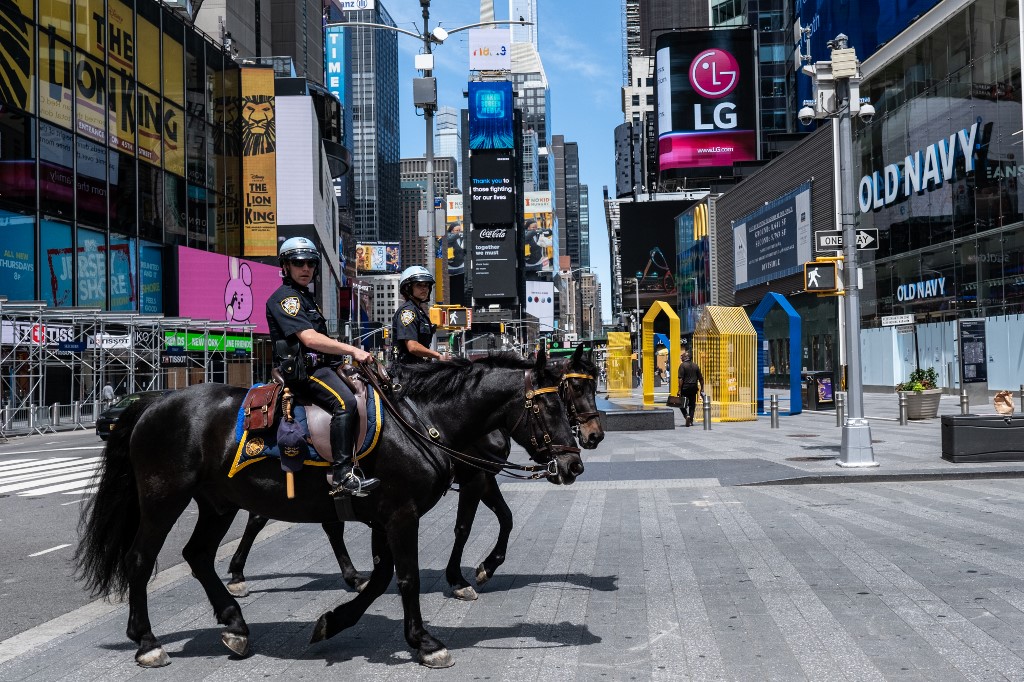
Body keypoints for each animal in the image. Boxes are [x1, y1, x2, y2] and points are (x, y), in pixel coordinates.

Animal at [226, 348, 606, 598]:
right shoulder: (474, 478)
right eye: (568, 392)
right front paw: (460, 578)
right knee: (261, 518)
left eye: (590, 387)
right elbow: (466, 527)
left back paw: (351, 576)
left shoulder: (482, 476)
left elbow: (506, 517)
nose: (592, 440)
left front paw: (486, 566)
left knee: (323, 524)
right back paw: (236, 573)